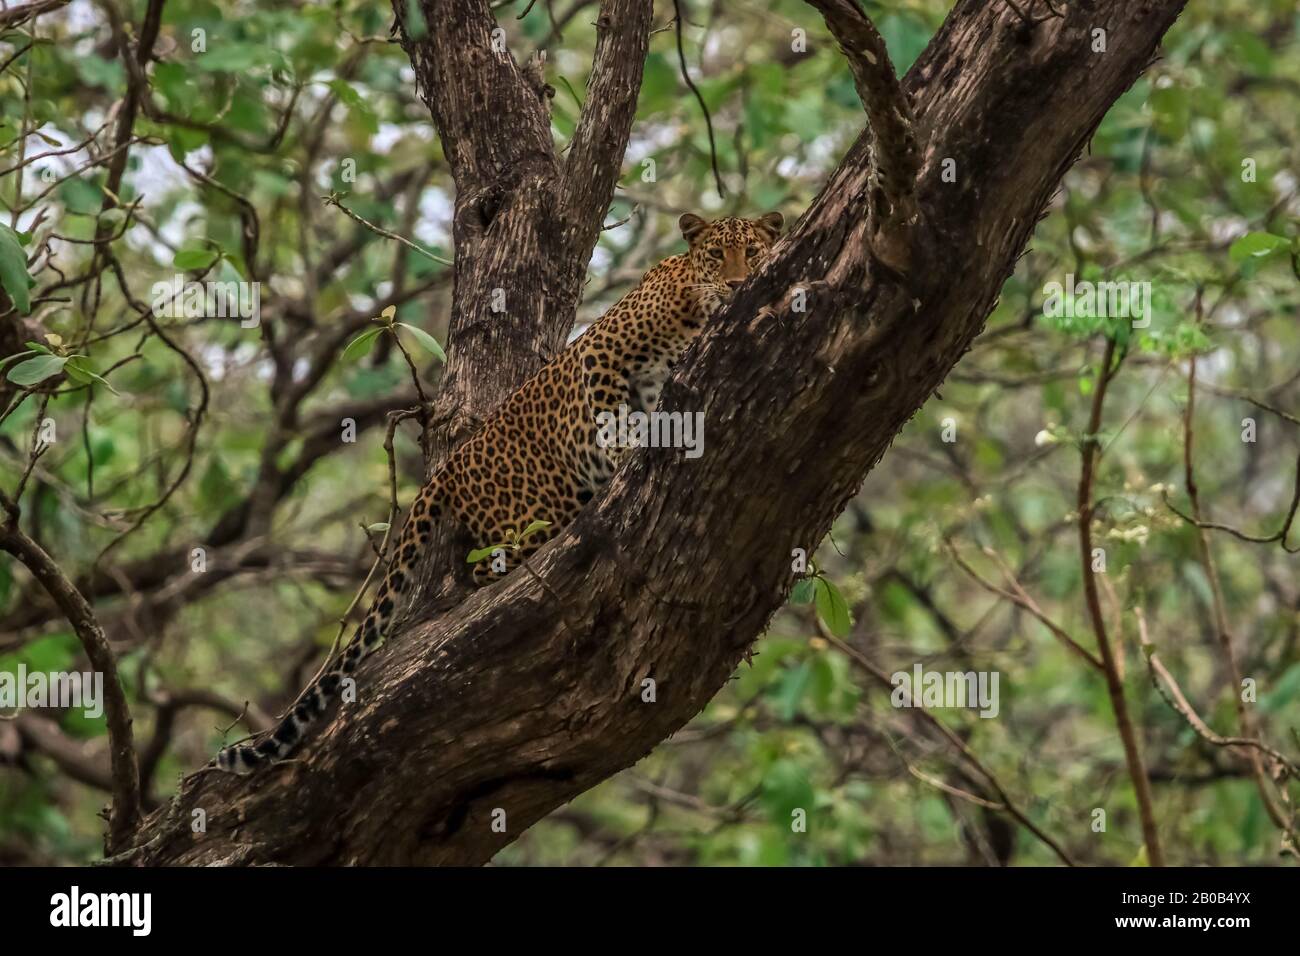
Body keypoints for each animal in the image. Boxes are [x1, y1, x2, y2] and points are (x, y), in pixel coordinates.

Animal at [213, 208, 780, 770]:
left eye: (752, 253)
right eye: (716, 255)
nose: (737, 285)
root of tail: (449, 467)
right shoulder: (602, 353)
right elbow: (612, 415)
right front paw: (625, 449)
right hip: (536, 501)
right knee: (486, 564)